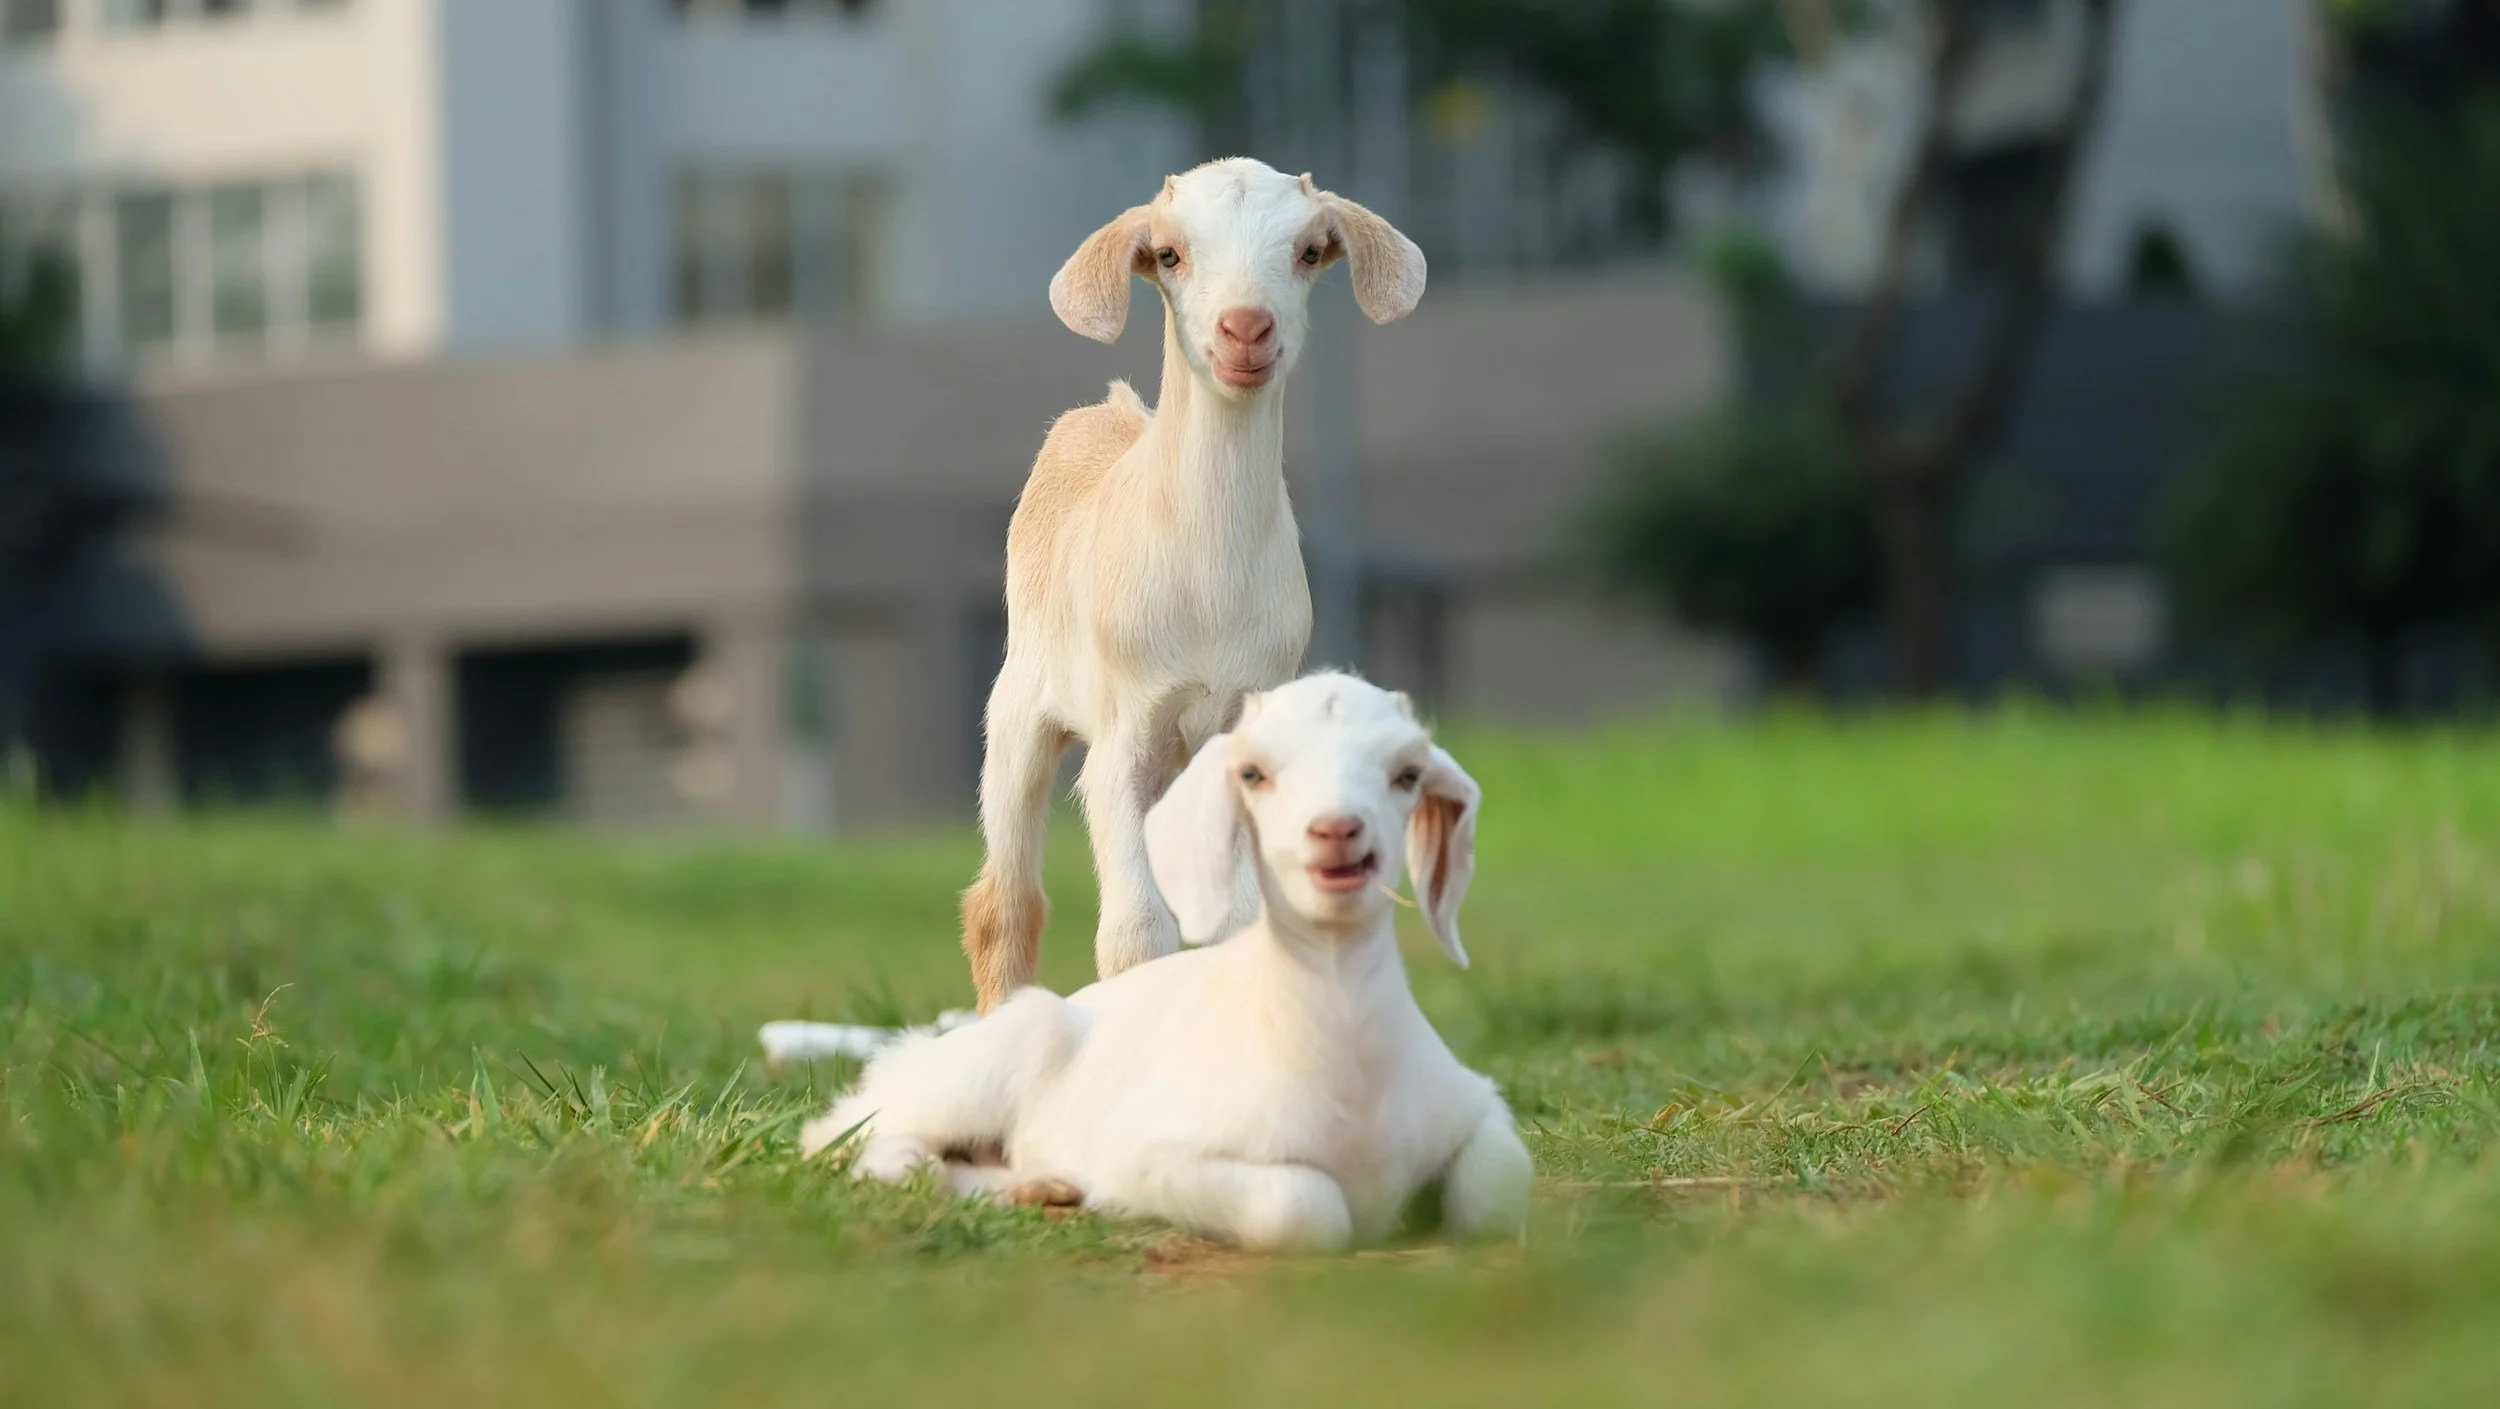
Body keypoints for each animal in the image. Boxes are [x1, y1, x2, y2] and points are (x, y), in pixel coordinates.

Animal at [803, 672, 1532, 1253]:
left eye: (1407, 773)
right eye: (1254, 773)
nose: (1336, 832)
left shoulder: (1474, 1104)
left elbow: (1498, 1185)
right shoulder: (1159, 1148)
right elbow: (1303, 1207)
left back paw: (1042, 1186)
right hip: (976, 1066)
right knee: (848, 1135)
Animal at [961, 157, 1428, 1012]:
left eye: (1308, 251)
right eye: (1171, 254)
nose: (1245, 329)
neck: (1209, 580)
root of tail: (1106, 412)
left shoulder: (1241, 730)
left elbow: (1241, 925)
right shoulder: (1126, 730)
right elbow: (1134, 934)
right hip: (1018, 710)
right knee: (1006, 902)